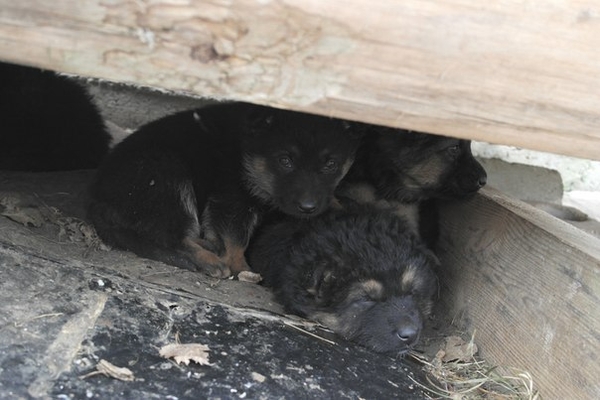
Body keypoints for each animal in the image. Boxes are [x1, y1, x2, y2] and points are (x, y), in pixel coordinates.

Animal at [89, 102, 360, 278]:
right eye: (285, 161)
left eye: (331, 164)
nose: (308, 207)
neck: (247, 154)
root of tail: (97, 201)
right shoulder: (231, 197)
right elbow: (235, 238)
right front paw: (241, 267)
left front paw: (338, 203)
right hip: (165, 176)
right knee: (168, 236)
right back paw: (208, 259)